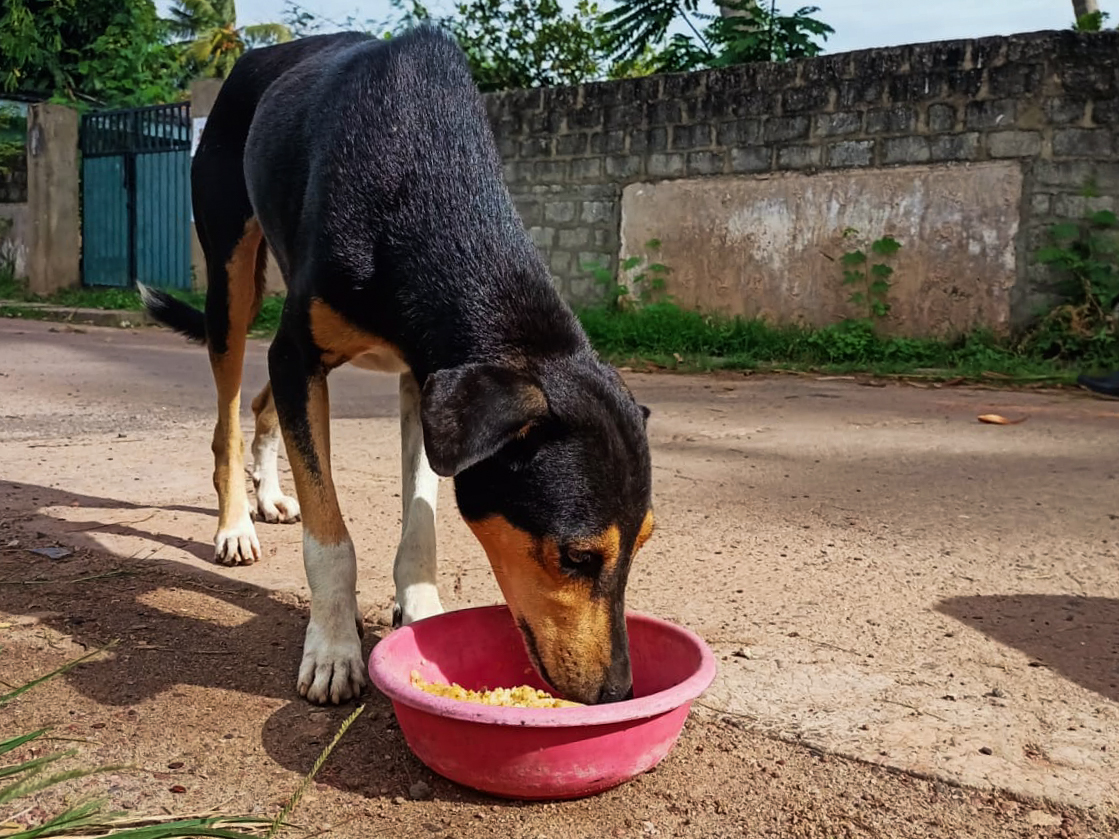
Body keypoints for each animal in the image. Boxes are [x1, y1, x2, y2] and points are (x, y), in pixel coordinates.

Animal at [144, 27, 657, 711]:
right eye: (575, 558)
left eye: (644, 541)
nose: (618, 693)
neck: (427, 186)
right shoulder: (301, 356)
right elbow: (330, 539)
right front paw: (334, 649)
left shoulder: (427, 380)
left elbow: (422, 517)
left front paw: (420, 611)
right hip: (232, 282)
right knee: (227, 417)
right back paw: (236, 525)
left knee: (260, 404)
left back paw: (271, 495)